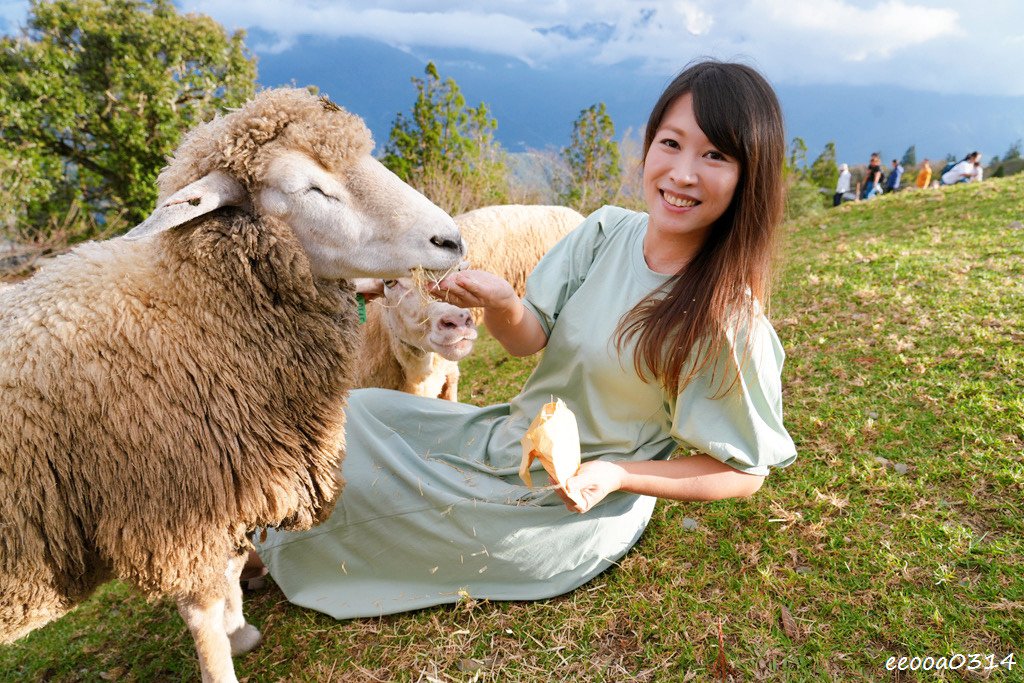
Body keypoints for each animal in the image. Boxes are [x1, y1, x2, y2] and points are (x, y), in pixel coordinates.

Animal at [0, 88, 464, 683]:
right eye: (310, 188)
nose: (450, 240)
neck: (188, 311)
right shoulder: (174, 508)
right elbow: (201, 608)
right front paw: (224, 651)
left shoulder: (228, 483)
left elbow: (233, 562)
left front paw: (238, 627)